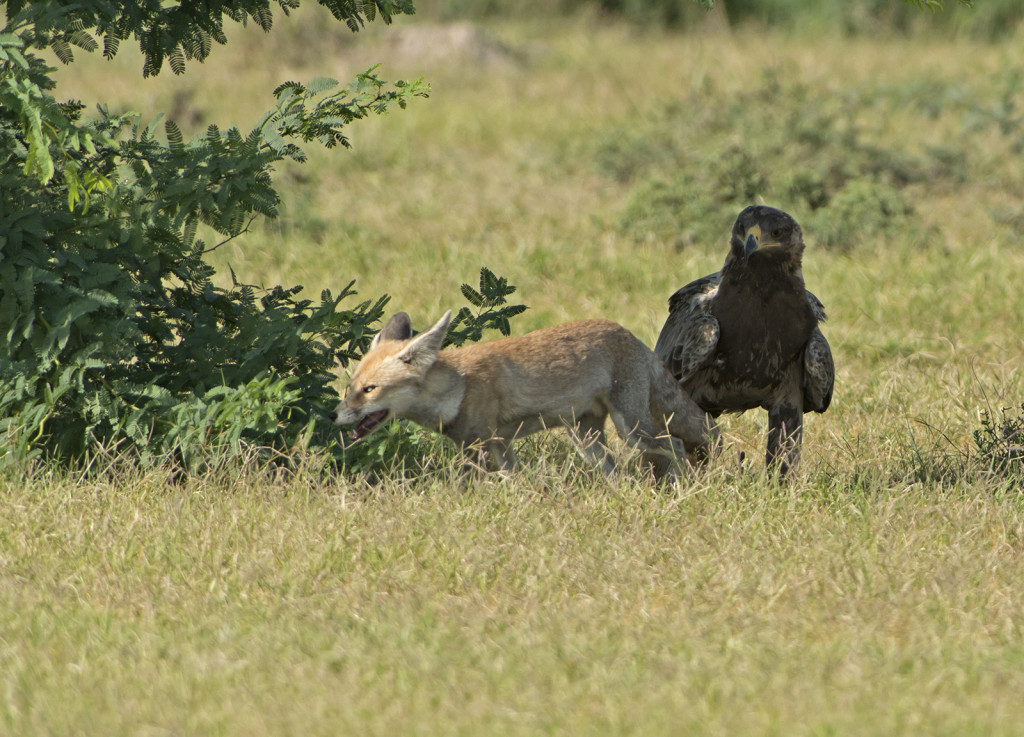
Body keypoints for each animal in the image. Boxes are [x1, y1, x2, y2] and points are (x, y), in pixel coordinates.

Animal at [327, 309, 712, 477]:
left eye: (370, 390)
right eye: (350, 389)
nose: (333, 415)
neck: (458, 389)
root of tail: (633, 337)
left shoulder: (481, 448)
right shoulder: (501, 446)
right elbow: (517, 482)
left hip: (632, 430)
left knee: (677, 445)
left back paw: (685, 483)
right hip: (586, 439)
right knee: (615, 468)